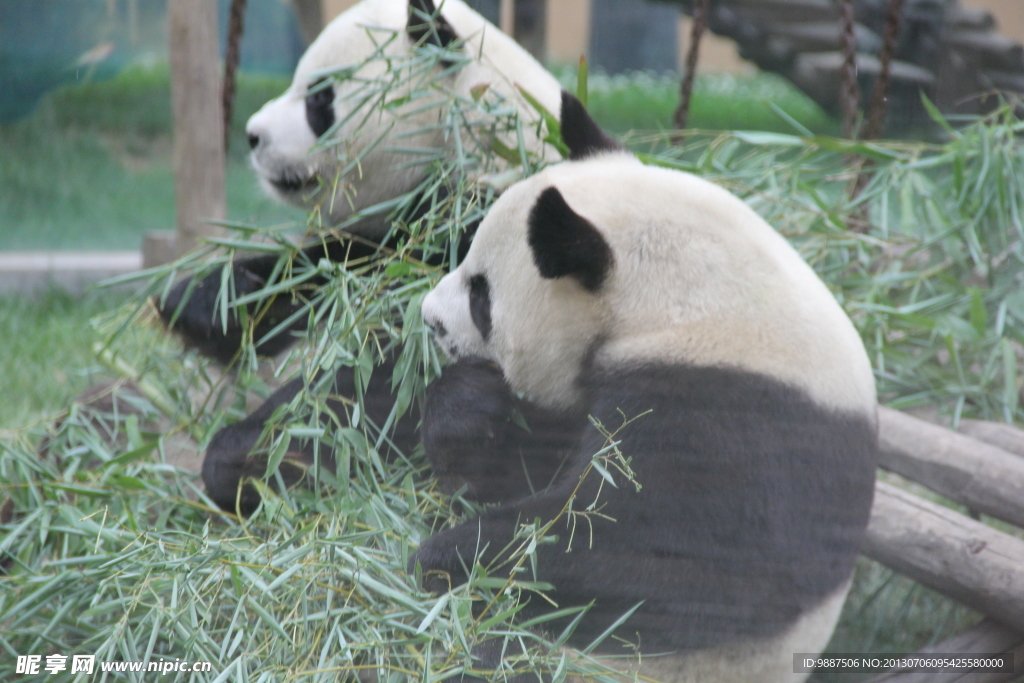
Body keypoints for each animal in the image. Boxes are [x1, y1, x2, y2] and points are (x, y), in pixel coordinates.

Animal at [415, 92, 880, 683]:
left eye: (482, 297)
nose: (430, 318)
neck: (675, 298)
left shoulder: (733, 411)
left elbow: (646, 548)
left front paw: (448, 557)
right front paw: (470, 409)